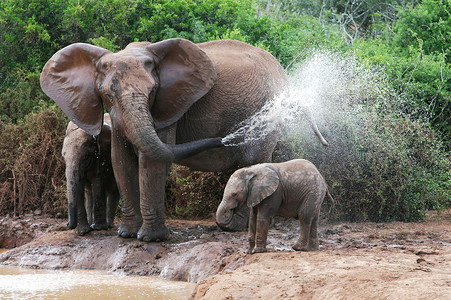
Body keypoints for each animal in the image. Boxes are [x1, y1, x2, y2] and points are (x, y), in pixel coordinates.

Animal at [39, 39, 328, 241]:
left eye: (152, 91)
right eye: (108, 95)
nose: (222, 138)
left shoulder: (167, 107)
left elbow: (151, 159)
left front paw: (150, 239)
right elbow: (120, 160)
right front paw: (126, 235)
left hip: (268, 112)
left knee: (252, 159)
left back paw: (233, 226)